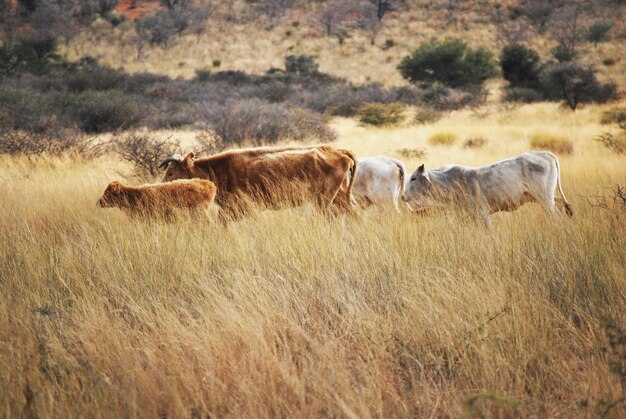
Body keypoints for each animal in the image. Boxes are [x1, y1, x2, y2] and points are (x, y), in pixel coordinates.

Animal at [158, 146, 356, 221]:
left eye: (171, 172)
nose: (159, 187)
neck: (218, 170)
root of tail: (338, 150)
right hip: (341, 197)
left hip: (324, 200)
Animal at [402, 151, 572, 228]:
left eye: (414, 178)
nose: (403, 196)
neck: (449, 182)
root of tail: (544, 153)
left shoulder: (483, 214)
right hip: (544, 198)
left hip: (545, 199)